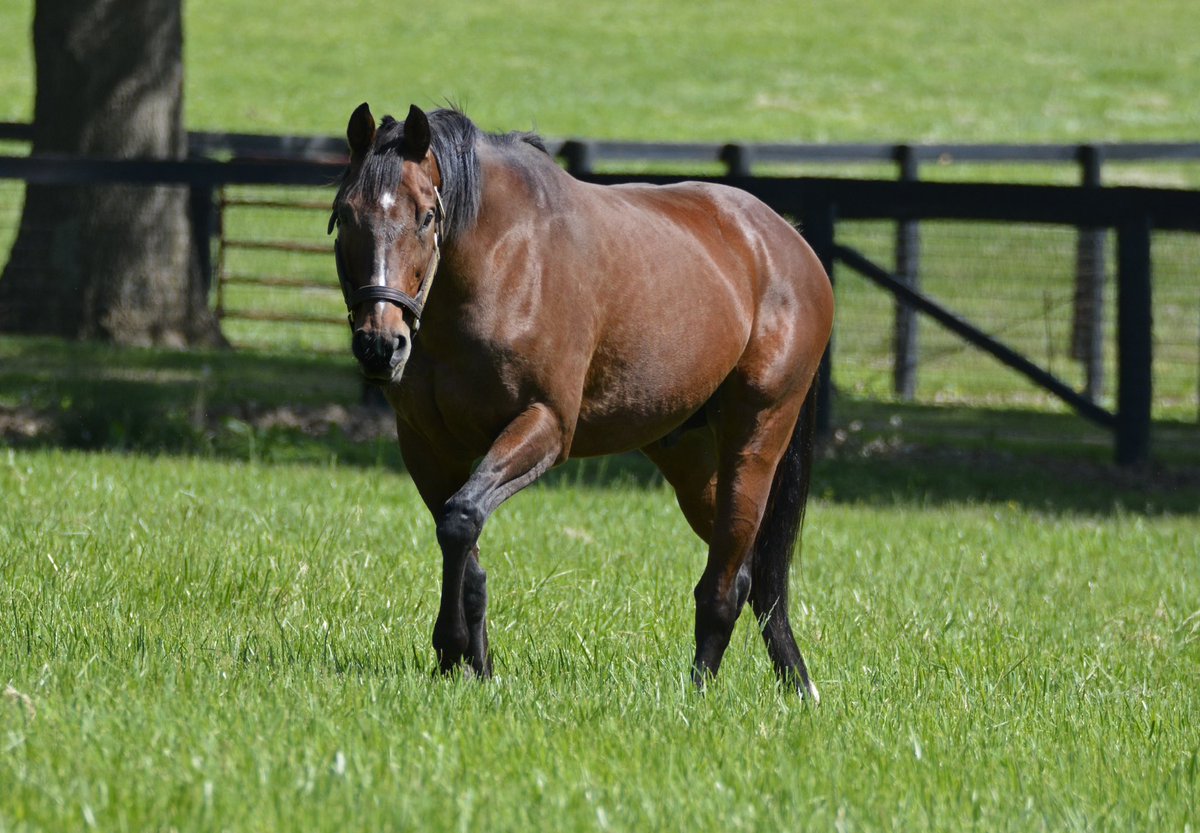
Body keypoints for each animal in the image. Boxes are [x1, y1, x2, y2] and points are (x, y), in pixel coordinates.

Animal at [328, 103, 833, 699]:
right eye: (344, 213)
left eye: (428, 216)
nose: (380, 345)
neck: (502, 262)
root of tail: (788, 243)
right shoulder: (429, 447)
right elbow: (463, 544)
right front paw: (472, 664)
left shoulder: (545, 426)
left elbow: (460, 519)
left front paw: (452, 649)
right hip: (688, 456)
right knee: (754, 574)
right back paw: (797, 684)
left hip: (755, 440)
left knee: (726, 584)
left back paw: (699, 691)